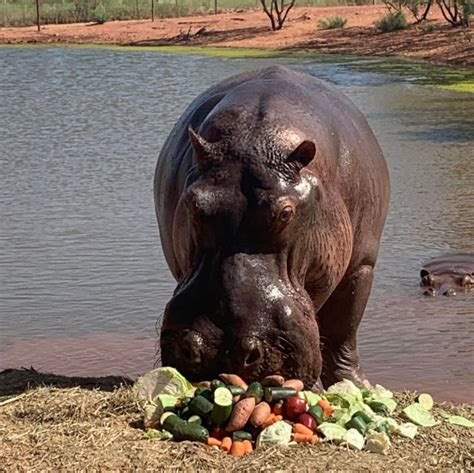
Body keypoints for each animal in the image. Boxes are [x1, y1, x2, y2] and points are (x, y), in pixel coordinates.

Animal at [154, 67, 390, 390]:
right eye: (193, 204)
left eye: (286, 213)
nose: (223, 348)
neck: (254, 137)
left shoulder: (361, 266)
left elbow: (343, 330)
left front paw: (356, 385)